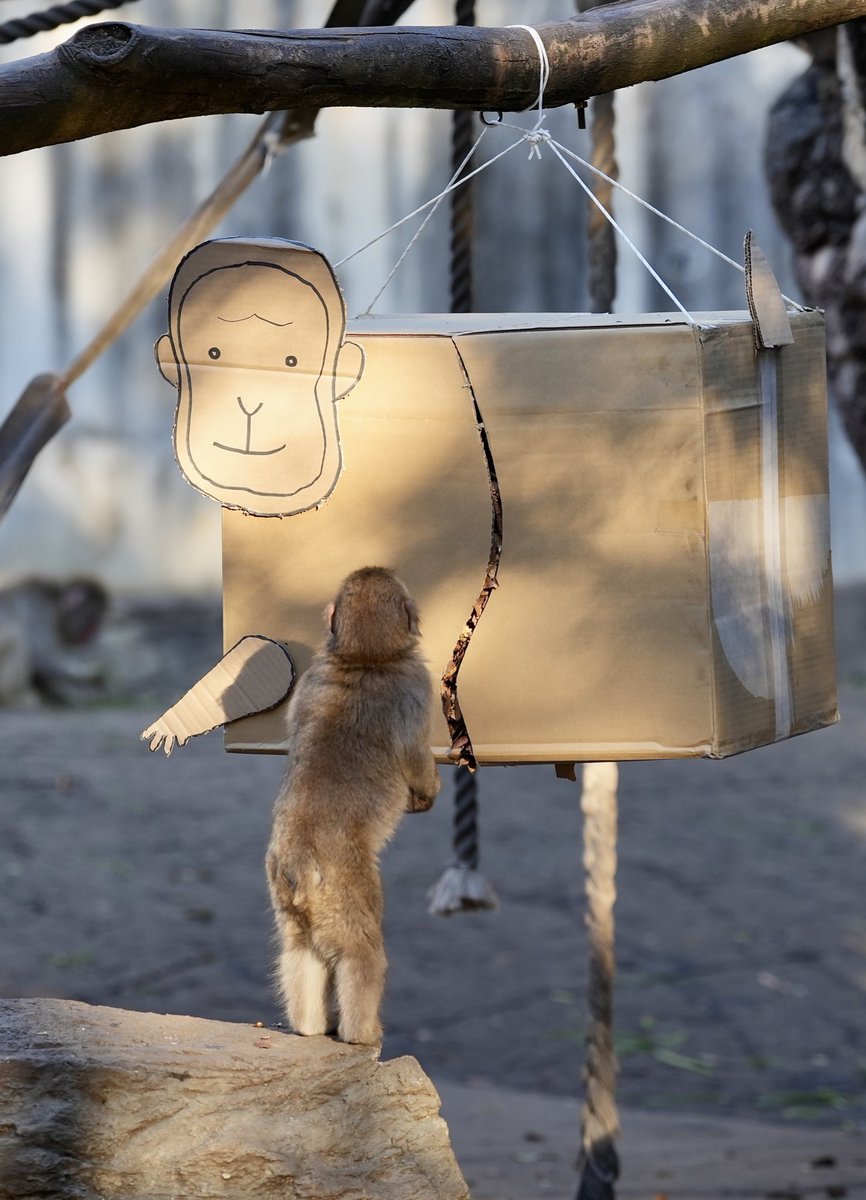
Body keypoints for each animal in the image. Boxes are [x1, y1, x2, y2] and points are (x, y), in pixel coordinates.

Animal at [0, 576, 108, 706]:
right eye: (93, 619)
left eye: (98, 620)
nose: (94, 632)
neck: (55, 605)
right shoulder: (40, 611)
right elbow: (42, 659)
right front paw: (90, 675)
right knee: (14, 637)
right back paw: (15, 697)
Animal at [265, 567, 440, 1046]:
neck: (365, 657)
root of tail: (300, 862)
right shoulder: (416, 684)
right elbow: (415, 757)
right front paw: (429, 790)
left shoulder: (310, 678)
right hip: (346, 888)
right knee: (361, 954)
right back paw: (362, 1033)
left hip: (284, 894)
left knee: (299, 951)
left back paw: (309, 1026)